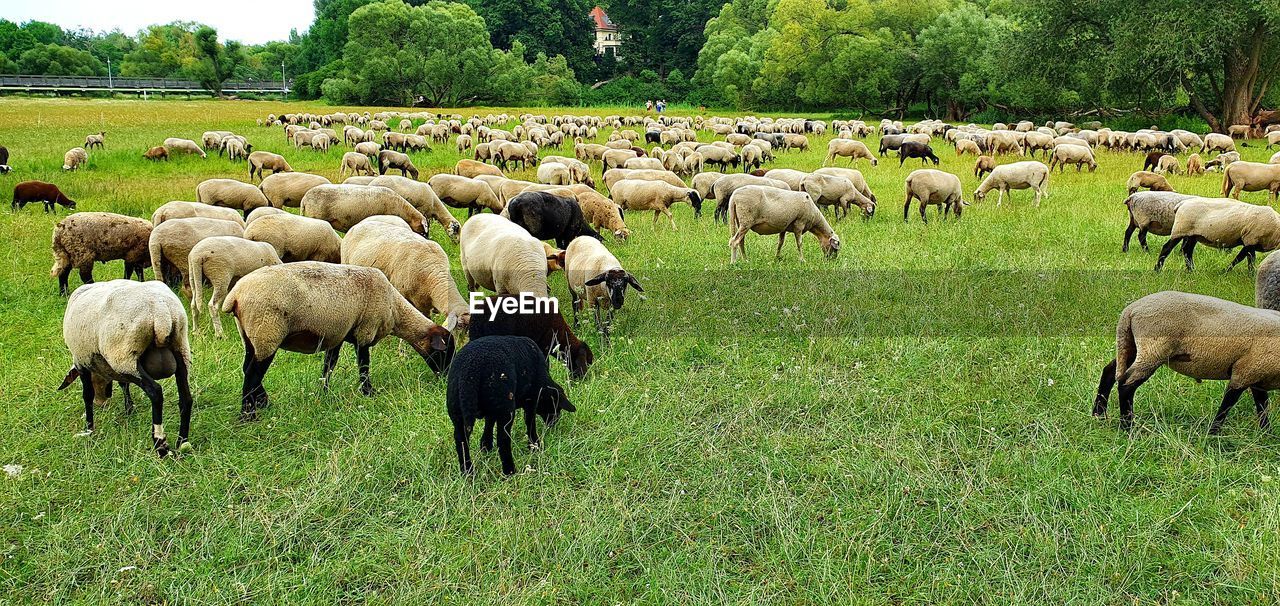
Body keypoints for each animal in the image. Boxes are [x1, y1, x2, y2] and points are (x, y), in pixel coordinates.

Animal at [59, 279, 192, 453]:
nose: (101, 404)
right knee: (186, 398)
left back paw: (160, 443)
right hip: (179, 348)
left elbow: (87, 395)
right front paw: (129, 409)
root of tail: (160, 310)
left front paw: (89, 429)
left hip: (125, 355)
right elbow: (123, 384)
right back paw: (182, 442)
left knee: (155, 392)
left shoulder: (81, 361)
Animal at [445, 333, 576, 474]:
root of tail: (469, 372)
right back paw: (510, 471)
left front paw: (485, 446)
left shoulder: (493, 408)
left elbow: (489, 423)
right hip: (504, 406)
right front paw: (535, 445)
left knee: (461, 440)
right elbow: (530, 422)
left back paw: (467, 471)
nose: (553, 423)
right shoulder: (531, 399)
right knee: (503, 439)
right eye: (556, 406)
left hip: (458, 408)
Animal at [1085, 266, 1280, 433]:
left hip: (1132, 345)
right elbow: (1227, 406)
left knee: (1110, 371)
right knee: (1126, 384)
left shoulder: (1256, 376)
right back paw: (1127, 428)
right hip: (1154, 349)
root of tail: (1131, 310)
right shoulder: (1245, 371)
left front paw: (1265, 434)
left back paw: (1098, 415)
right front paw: (1213, 435)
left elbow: (1262, 407)